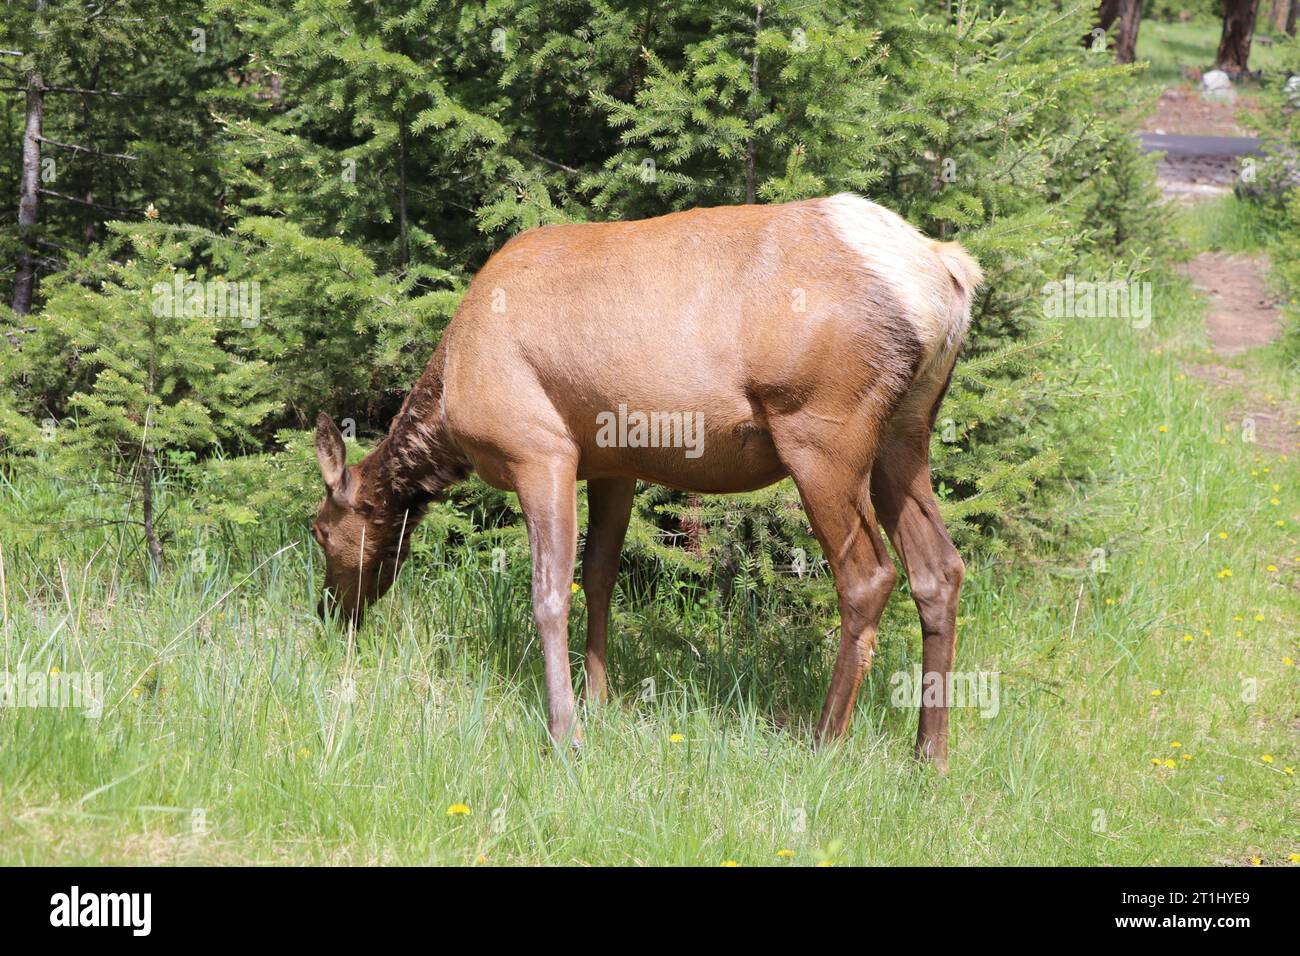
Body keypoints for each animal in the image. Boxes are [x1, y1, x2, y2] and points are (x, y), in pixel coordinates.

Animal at [314, 195, 977, 770]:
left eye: (319, 530)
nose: (328, 612)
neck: (450, 406)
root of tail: (947, 274)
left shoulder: (539, 448)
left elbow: (549, 593)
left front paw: (565, 734)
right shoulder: (614, 464)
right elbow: (599, 575)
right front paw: (598, 700)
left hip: (822, 431)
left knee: (869, 576)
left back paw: (823, 742)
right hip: (905, 430)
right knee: (939, 568)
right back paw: (931, 755)